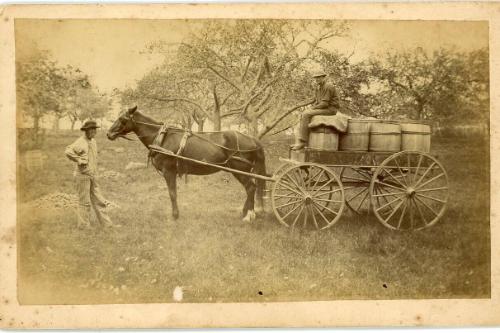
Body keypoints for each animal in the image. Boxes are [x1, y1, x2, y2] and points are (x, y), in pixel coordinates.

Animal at [107, 105, 268, 222]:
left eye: (122, 119)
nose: (109, 134)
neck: (162, 138)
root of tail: (253, 139)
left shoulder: (169, 171)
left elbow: (172, 193)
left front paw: (175, 216)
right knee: (251, 188)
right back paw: (245, 212)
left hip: (240, 169)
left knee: (250, 187)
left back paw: (249, 215)